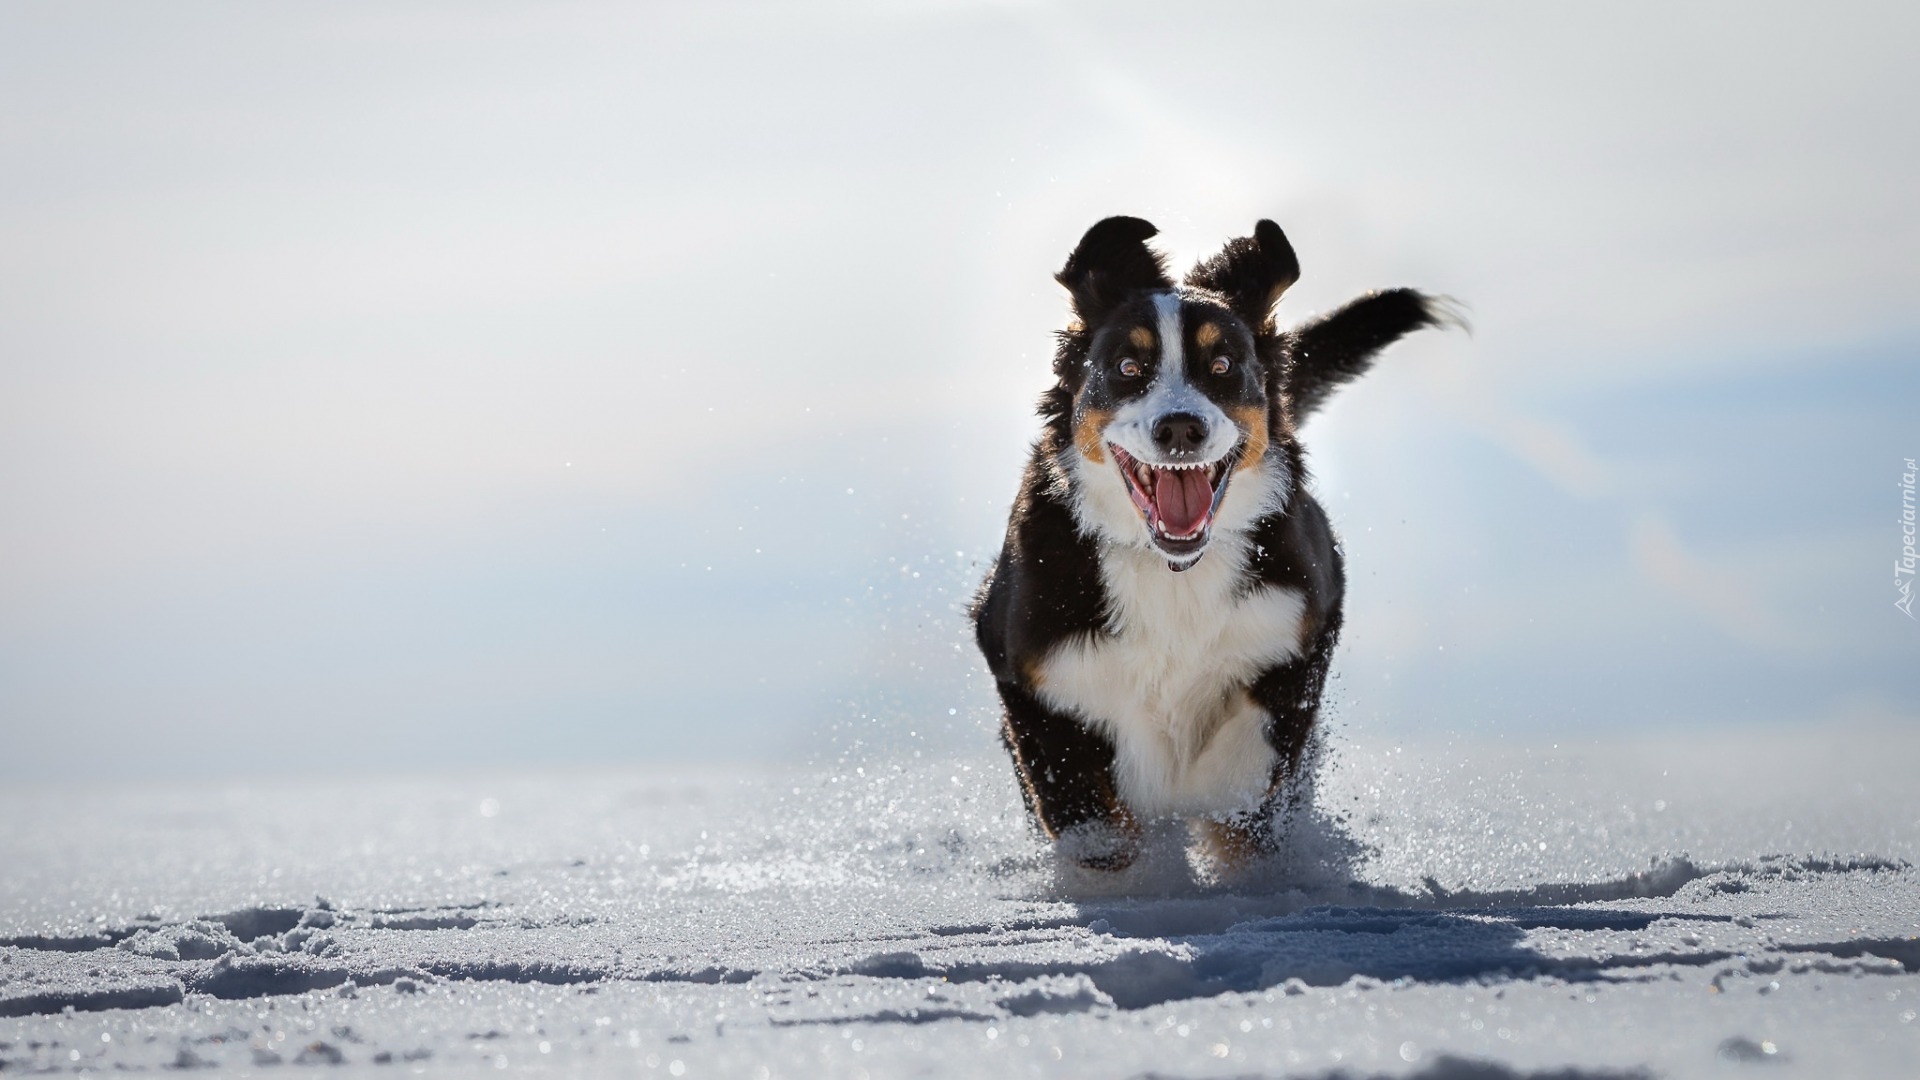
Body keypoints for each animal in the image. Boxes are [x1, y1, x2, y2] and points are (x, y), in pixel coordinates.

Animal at [975, 216, 1443, 864]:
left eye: (1221, 365)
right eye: (1127, 367)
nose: (1180, 427)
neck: (1173, 573)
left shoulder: (1302, 622)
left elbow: (1250, 766)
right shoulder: (1028, 667)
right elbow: (1088, 817)